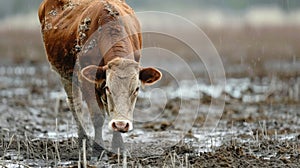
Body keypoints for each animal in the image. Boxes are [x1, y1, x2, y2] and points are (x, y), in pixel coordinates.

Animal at [39, 0, 163, 152]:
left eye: (136, 89)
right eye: (109, 88)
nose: (121, 124)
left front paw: (118, 146)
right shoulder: (87, 81)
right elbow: (97, 116)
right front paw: (98, 147)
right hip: (65, 75)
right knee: (75, 104)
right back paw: (83, 139)